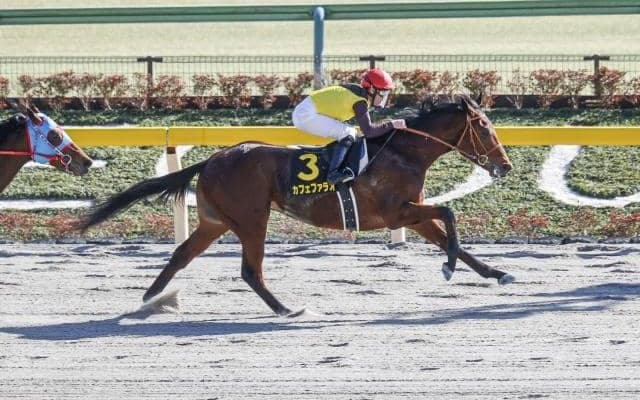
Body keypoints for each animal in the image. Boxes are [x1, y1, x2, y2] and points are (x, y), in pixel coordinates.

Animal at [79, 94, 513, 316]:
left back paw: (151, 299)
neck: (402, 153)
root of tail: (212, 159)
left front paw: (496, 272)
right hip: (251, 218)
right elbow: (449, 214)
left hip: (215, 221)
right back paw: (286, 309)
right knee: (250, 270)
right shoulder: (397, 212)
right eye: (485, 128)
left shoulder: (412, 212)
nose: (505, 165)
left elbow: (451, 238)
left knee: (181, 255)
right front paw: (449, 268)